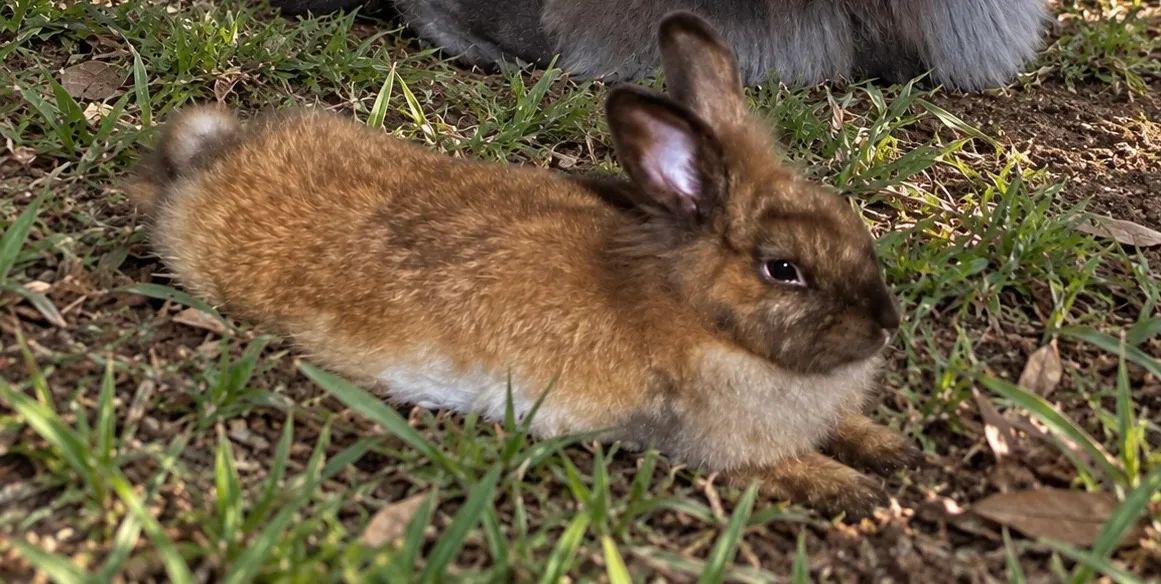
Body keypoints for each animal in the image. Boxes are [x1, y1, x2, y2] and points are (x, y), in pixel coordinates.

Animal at [126, 11, 919, 518]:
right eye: (783, 269)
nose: (884, 326)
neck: (699, 314)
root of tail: (207, 163)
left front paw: (887, 448)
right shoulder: (709, 442)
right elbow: (774, 466)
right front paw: (857, 490)